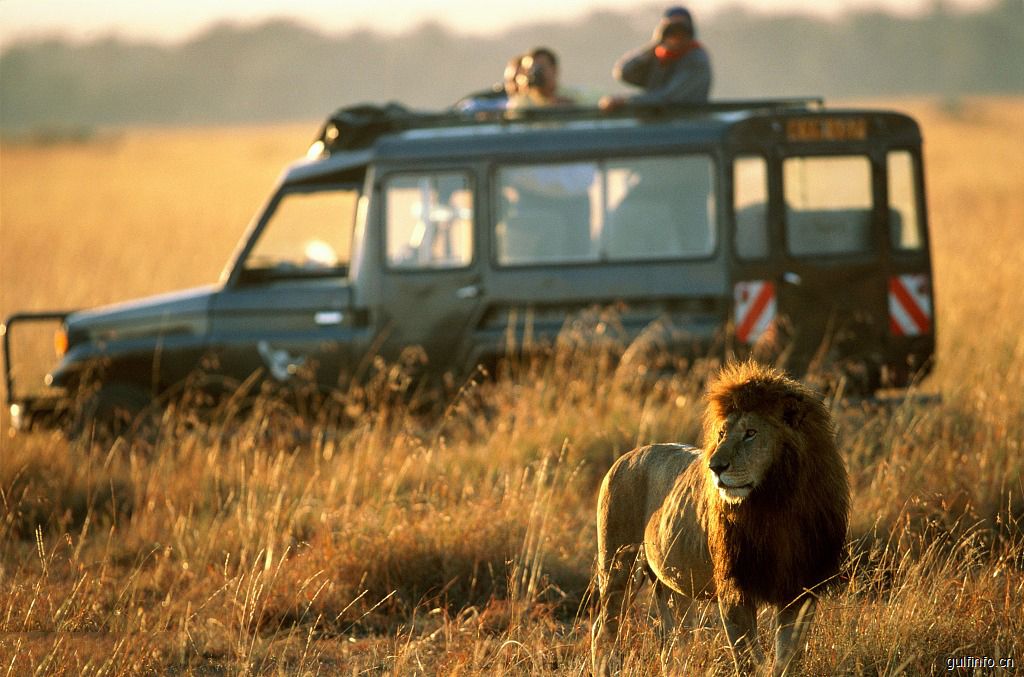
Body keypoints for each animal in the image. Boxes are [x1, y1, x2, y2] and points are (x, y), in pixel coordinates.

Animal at [593, 362, 847, 671]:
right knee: (605, 628)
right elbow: (749, 661)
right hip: (619, 566)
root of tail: (627, 455)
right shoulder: (733, 590)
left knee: (671, 637)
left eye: (751, 432)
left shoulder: (800, 589)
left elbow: (788, 658)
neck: (776, 505)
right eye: (722, 434)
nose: (715, 466)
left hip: (672, 581)